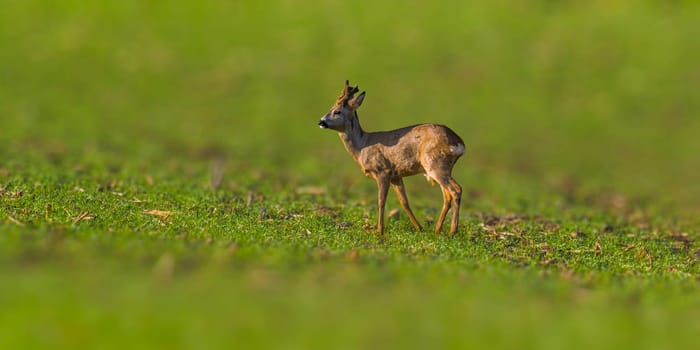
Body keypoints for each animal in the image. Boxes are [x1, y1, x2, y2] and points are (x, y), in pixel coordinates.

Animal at [318, 81, 464, 235]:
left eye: (337, 111)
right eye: (330, 108)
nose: (320, 122)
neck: (362, 145)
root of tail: (458, 142)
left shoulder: (383, 171)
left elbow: (381, 201)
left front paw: (379, 230)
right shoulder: (396, 176)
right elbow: (404, 202)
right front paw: (419, 228)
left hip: (435, 164)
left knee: (456, 190)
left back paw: (452, 231)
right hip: (440, 168)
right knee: (447, 195)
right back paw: (437, 229)